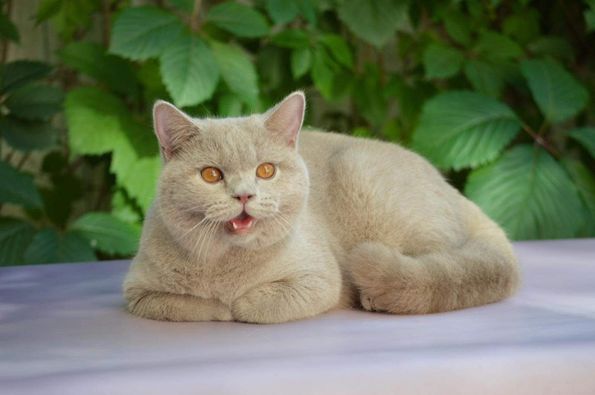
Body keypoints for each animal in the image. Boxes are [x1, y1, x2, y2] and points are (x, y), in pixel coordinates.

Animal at [124, 92, 520, 324]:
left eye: (265, 171)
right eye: (211, 174)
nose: (244, 195)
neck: (226, 266)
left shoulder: (320, 279)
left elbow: (259, 305)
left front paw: (237, 305)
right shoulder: (137, 293)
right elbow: (186, 305)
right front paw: (219, 307)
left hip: (367, 177)